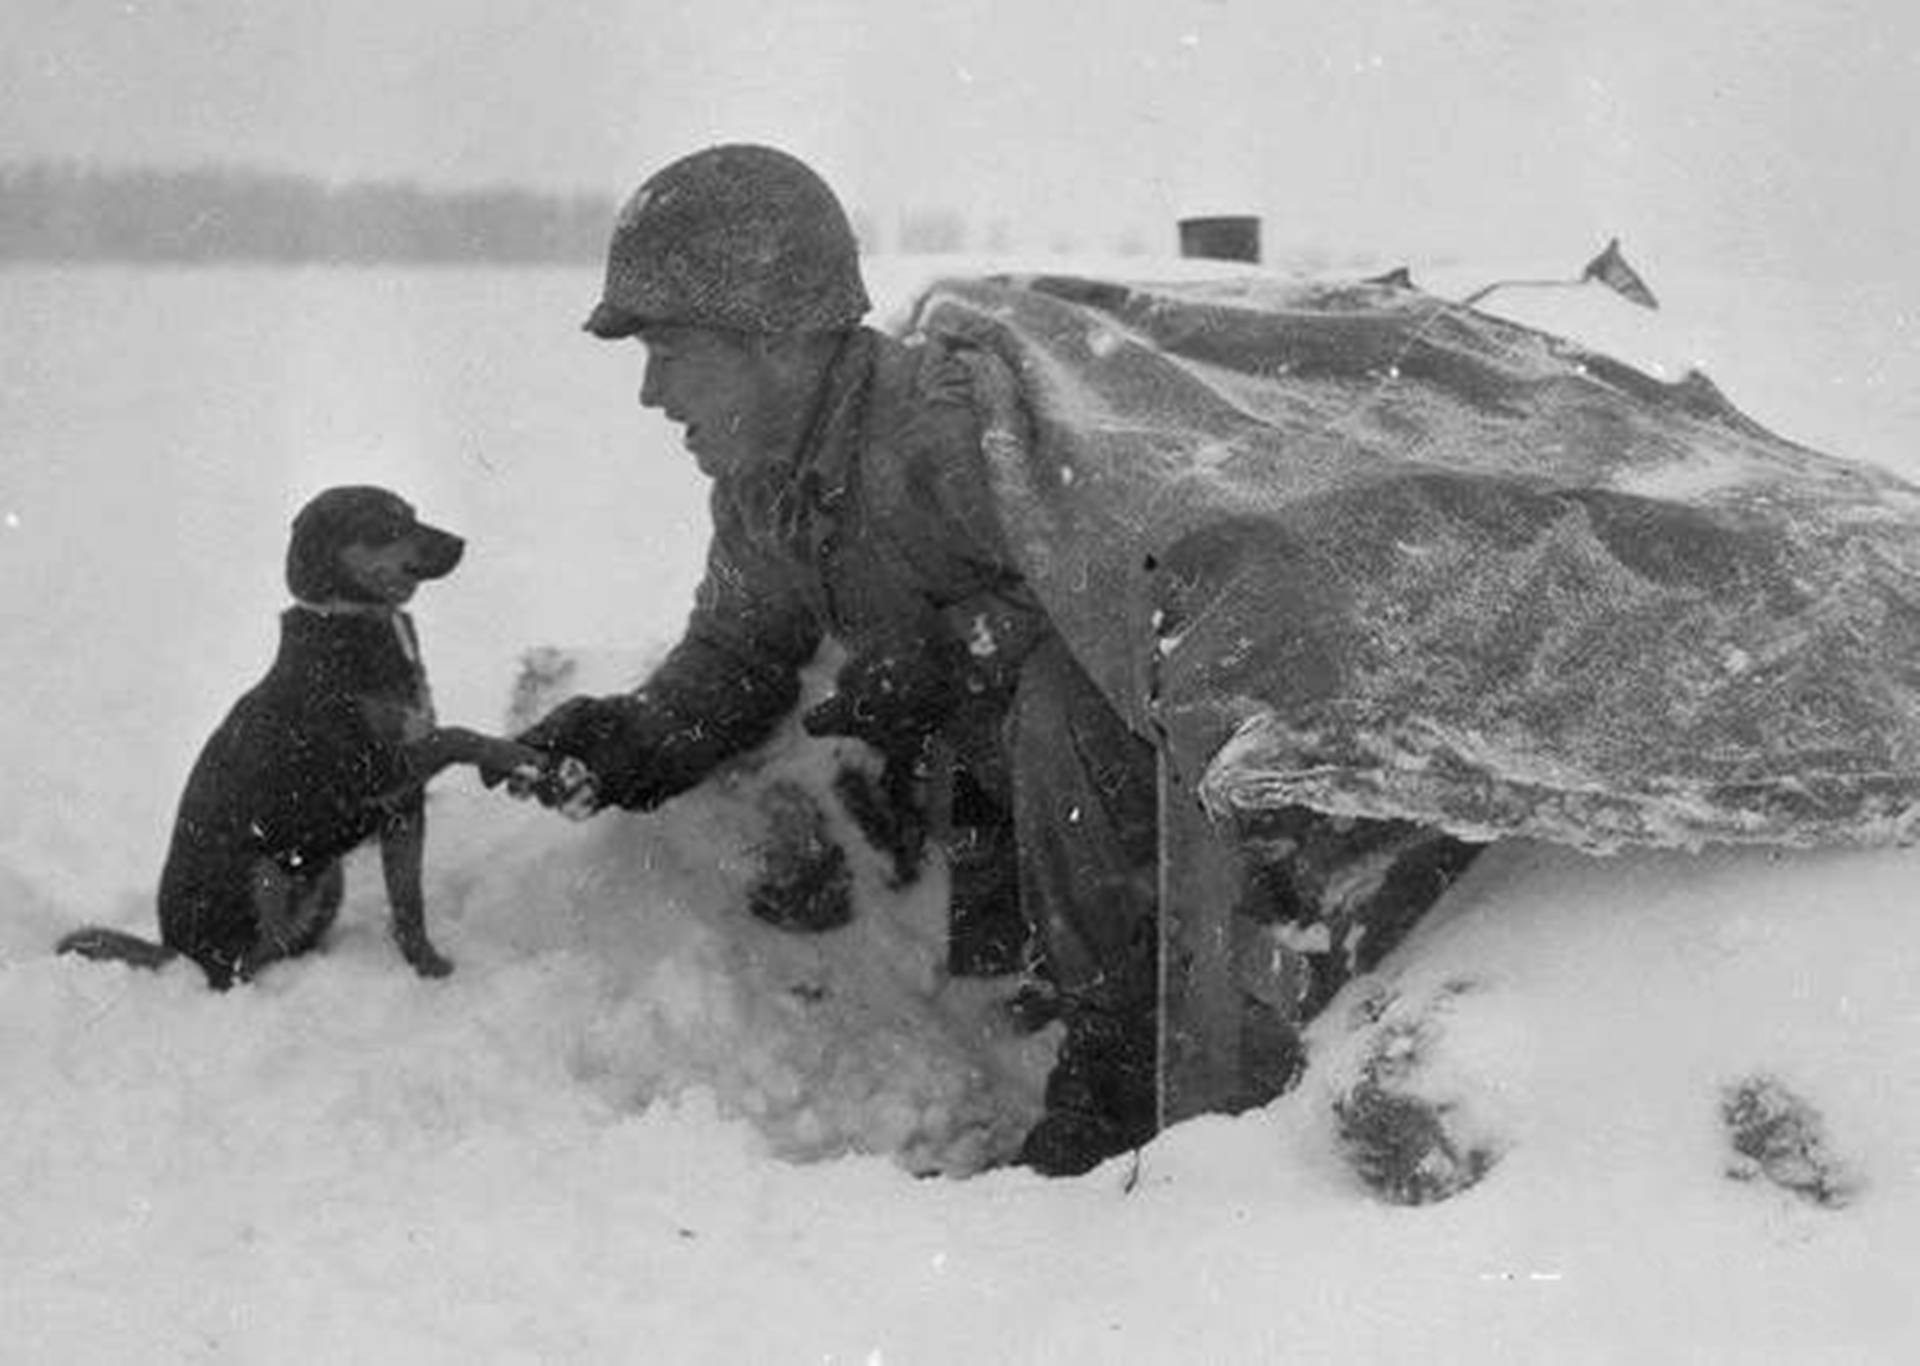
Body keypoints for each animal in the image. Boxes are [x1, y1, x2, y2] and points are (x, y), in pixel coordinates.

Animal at [58, 486, 549, 991]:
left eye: (412, 513)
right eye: (387, 523)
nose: (459, 543)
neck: (353, 618)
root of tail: (175, 951)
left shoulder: (403, 807)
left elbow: (409, 904)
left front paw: (428, 967)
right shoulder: (369, 770)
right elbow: (455, 736)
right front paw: (514, 752)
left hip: (327, 877)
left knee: (284, 945)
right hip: (261, 876)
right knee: (236, 968)